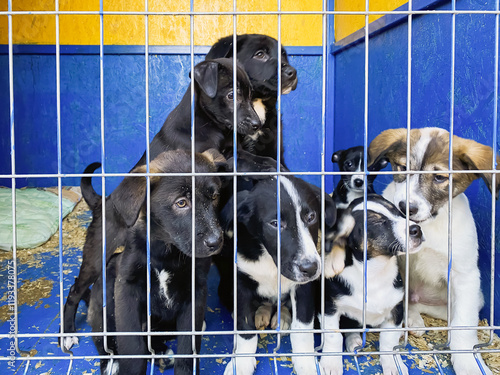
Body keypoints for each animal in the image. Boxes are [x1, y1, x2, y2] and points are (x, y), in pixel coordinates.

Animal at [88, 150, 225, 375]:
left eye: (214, 196)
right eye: (181, 203)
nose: (216, 242)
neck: (167, 251)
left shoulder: (196, 292)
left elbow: (188, 348)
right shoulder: (126, 287)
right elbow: (132, 345)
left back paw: (160, 351)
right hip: (105, 289)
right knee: (103, 337)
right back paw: (112, 361)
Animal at [219, 175, 336, 375]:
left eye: (311, 217)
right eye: (275, 224)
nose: (311, 268)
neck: (272, 262)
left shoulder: (303, 288)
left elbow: (303, 329)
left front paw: (305, 363)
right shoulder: (241, 284)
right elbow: (245, 329)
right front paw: (241, 363)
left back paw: (282, 318)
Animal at [320, 194, 422, 375]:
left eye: (397, 211)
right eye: (377, 222)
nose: (417, 230)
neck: (374, 274)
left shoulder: (395, 309)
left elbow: (388, 340)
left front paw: (392, 363)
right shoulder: (330, 306)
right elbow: (333, 336)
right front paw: (331, 363)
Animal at [366, 127, 498, 375]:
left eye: (439, 178)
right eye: (402, 167)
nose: (405, 207)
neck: (427, 225)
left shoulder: (465, 276)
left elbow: (463, 327)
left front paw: (467, 363)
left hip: (472, 298)